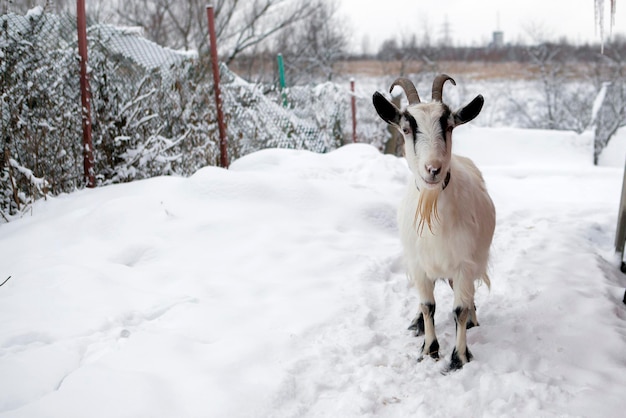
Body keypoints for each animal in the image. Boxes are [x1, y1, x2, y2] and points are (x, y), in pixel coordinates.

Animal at [370, 74, 492, 370]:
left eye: (449, 127)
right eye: (406, 129)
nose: (433, 169)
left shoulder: (463, 265)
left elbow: (459, 309)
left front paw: (459, 358)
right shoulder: (418, 263)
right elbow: (428, 306)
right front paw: (428, 349)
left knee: (467, 299)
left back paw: (473, 319)